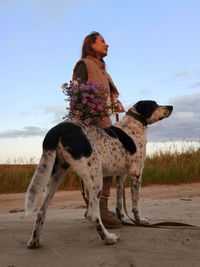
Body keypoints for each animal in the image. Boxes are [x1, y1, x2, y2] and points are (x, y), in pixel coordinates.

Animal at [24, 101, 172, 249]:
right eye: (154, 104)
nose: (171, 107)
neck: (135, 123)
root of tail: (58, 129)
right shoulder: (136, 173)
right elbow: (136, 203)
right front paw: (139, 220)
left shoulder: (120, 176)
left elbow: (119, 201)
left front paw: (121, 218)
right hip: (95, 176)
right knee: (92, 213)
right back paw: (108, 238)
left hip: (55, 176)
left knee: (41, 211)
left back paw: (34, 241)